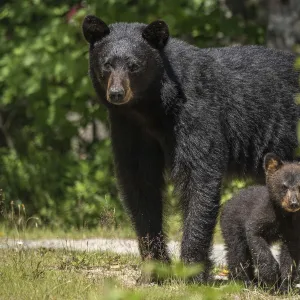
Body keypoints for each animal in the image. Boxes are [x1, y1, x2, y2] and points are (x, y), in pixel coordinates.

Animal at [220, 154, 300, 292]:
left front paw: (284, 286)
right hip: (232, 224)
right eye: (284, 186)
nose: (294, 203)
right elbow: (256, 238)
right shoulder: (262, 213)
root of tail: (229, 201)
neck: (284, 215)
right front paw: (271, 275)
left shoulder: (293, 228)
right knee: (237, 252)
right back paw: (243, 282)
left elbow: (290, 256)